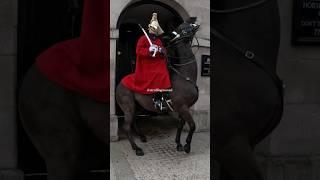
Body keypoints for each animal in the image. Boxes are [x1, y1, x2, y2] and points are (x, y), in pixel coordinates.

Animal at [115, 18, 200, 156]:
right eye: (182, 27)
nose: (195, 22)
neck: (185, 76)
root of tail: (120, 82)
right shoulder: (182, 107)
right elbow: (192, 125)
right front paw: (187, 146)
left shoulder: (184, 107)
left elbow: (181, 125)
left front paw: (178, 144)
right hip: (128, 107)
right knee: (127, 126)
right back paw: (137, 149)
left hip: (137, 106)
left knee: (134, 120)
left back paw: (142, 137)